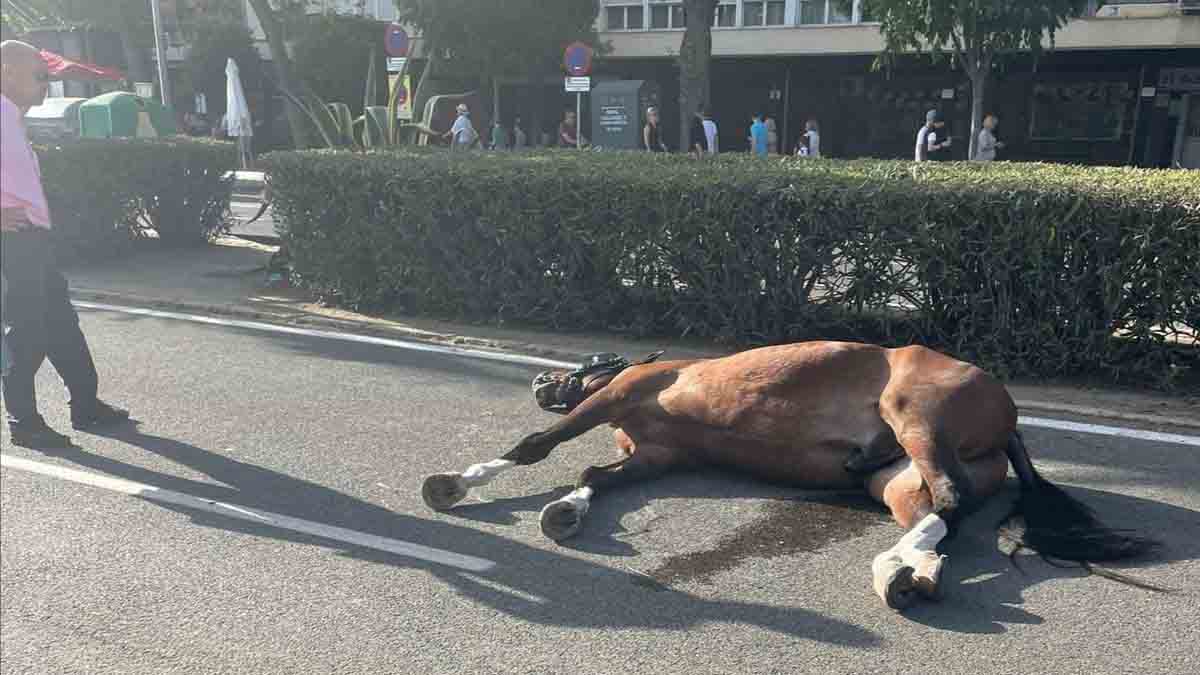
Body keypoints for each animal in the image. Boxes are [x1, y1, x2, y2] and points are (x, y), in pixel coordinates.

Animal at [420, 338, 1152, 607]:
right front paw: (567, 510)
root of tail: (1008, 414)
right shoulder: (656, 456)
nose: (541, 381)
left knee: (949, 497)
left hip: (914, 413)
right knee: (940, 513)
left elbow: (539, 445)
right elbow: (597, 472)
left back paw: (896, 568)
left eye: (587, 364)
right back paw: (908, 571)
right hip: (894, 479)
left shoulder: (620, 395)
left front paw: (456, 483)